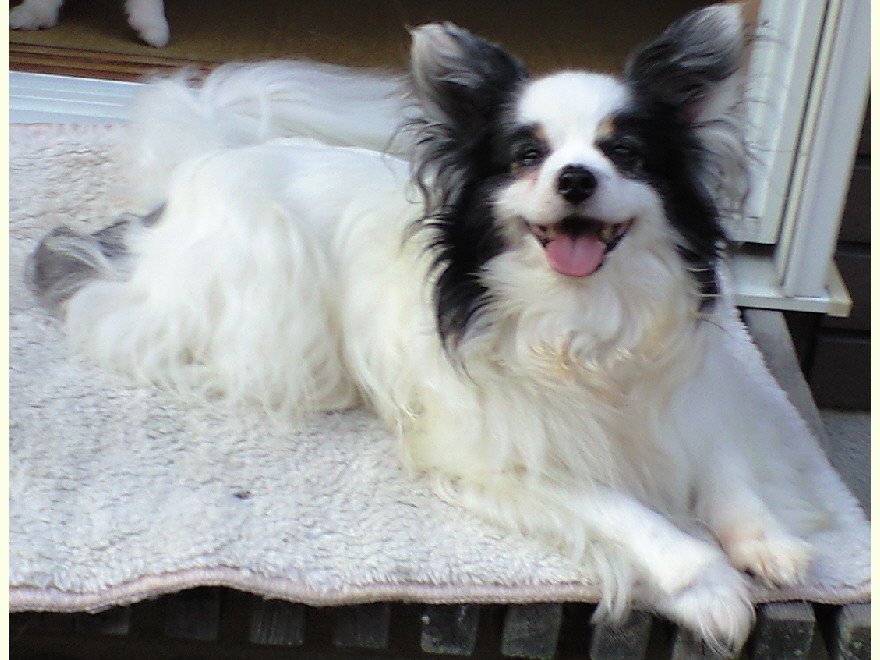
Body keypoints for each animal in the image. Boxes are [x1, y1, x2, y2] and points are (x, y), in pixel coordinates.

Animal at [29, 5, 829, 651]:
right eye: (528, 156)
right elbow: (631, 514)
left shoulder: (695, 401)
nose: (575, 178)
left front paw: (768, 542)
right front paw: (708, 586)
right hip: (274, 287)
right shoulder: (495, 456)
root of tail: (209, 154)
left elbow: (728, 474)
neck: (581, 322)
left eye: (624, 154)